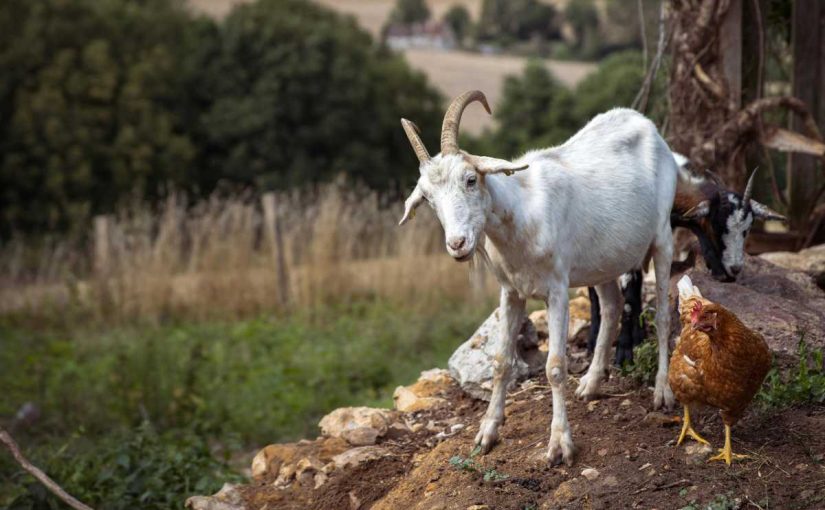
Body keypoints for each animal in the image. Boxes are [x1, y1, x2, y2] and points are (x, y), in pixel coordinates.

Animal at [398, 89, 676, 464]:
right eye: (427, 198)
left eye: (470, 179)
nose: (457, 244)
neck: (522, 213)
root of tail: (644, 123)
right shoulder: (510, 292)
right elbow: (501, 362)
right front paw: (487, 432)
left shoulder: (557, 291)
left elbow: (555, 367)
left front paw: (560, 444)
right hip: (602, 260)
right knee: (612, 305)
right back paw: (591, 383)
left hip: (662, 236)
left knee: (662, 316)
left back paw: (662, 391)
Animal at [584, 153, 784, 364]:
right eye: (718, 225)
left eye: (748, 228)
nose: (735, 268)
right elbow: (628, 299)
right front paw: (623, 353)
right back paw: (593, 339)